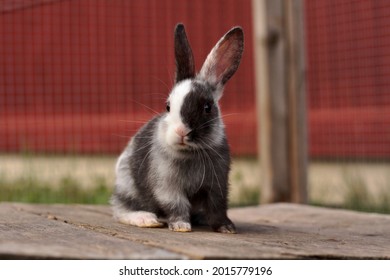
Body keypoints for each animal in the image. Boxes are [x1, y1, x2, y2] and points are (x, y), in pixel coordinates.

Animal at [110, 23, 244, 234]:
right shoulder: (168, 187)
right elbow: (176, 205)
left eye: (207, 108)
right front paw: (181, 226)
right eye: (167, 106)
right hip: (127, 187)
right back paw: (147, 219)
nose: (181, 132)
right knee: (120, 210)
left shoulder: (217, 185)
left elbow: (218, 207)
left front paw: (226, 227)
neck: (190, 152)